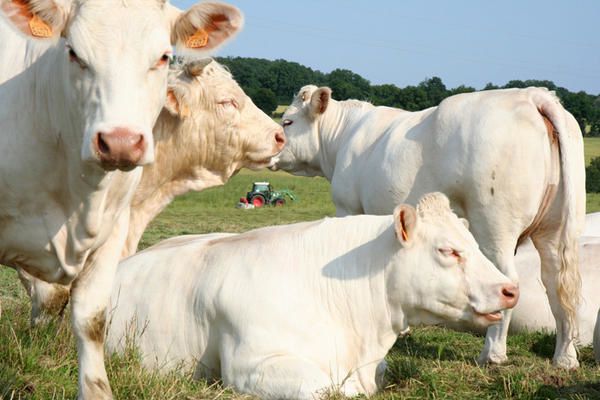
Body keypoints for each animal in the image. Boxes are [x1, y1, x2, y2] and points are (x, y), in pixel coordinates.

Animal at [276, 84, 584, 368]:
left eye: (287, 121)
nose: (275, 144)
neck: (341, 139)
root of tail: (531, 94)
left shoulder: (349, 209)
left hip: (496, 225)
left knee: (509, 280)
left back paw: (492, 353)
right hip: (555, 228)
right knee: (557, 284)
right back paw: (565, 357)